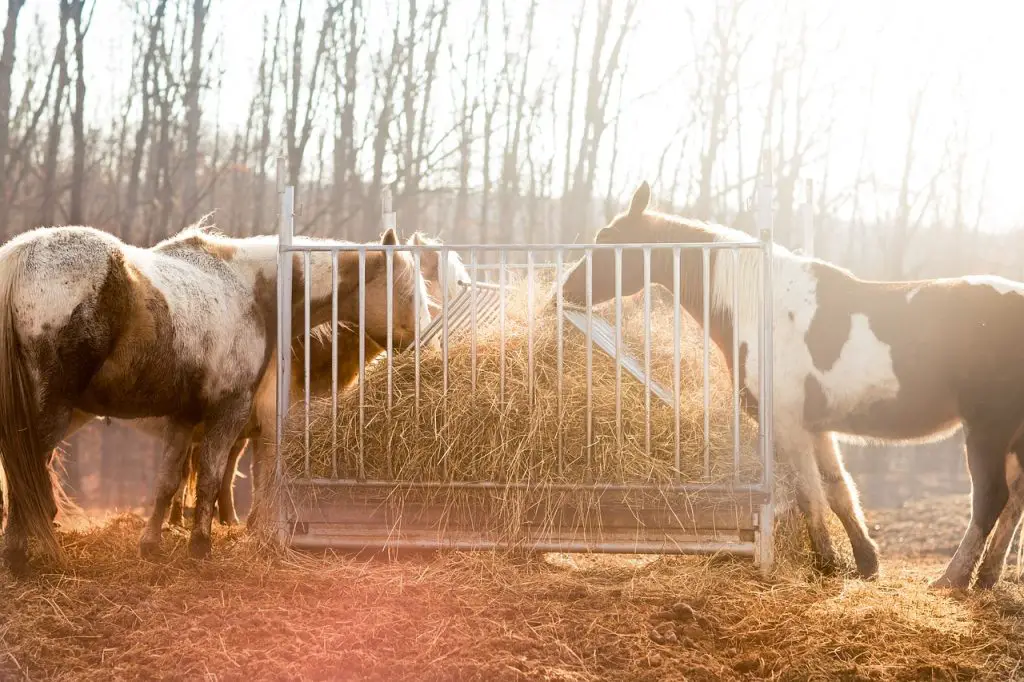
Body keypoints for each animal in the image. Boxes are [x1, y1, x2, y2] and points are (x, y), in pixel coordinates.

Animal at [0, 223, 428, 573]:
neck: (250, 291)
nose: (424, 345)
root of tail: (21, 257)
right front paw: (201, 546)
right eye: (408, 293)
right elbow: (210, 476)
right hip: (52, 413)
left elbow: (168, 481)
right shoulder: (230, 411)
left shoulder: (184, 417)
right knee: (26, 475)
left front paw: (152, 544)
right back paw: (21, 552)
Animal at [557, 180, 1024, 589]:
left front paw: (827, 562)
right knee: (1015, 499)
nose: (566, 290)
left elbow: (809, 495)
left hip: (987, 429)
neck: (761, 307)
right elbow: (838, 491)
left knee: (990, 499)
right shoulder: (817, 428)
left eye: (607, 239)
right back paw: (987, 578)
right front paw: (866, 562)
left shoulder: (788, 425)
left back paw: (953, 579)